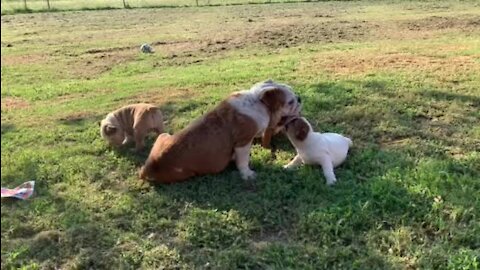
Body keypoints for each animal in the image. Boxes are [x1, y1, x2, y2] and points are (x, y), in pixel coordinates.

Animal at [139, 80, 300, 185]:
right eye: (290, 102)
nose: (299, 98)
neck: (257, 100)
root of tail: (147, 169)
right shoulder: (243, 142)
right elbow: (243, 161)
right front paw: (247, 174)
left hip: (163, 136)